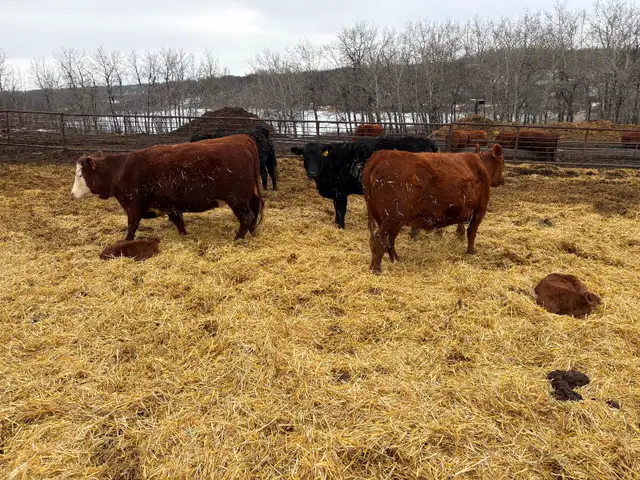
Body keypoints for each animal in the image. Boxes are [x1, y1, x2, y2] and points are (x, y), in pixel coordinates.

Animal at [71, 134, 264, 241]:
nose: (72, 193)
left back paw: (238, 238)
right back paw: (252, 232)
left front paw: (126, 241)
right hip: (248, 195)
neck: (121, 171)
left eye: (80, 174)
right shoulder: (170, 205)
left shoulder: (133, 206)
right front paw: (185, 235)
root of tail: (242, 139)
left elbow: (132, 226)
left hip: (237, 198)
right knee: (254, 212)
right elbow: (178, 222)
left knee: (247, 216)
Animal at [300, 136, 439, 229]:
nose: (312, 172)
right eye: (305, 156)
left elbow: (341, 210)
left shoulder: (341, 192)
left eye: (319, 155)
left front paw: (340, 227)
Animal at [363, 144, 505, 274]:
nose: (502, 181)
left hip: (384, 217)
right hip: (392, 218)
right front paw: (471, 252)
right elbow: (472, 232)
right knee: (380, 239)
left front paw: (460, 234)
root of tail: (382, 154)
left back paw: (395, 260)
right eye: (502, 164)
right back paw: (377, 269)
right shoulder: (479, 211)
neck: (481, 166)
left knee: (387, 240)